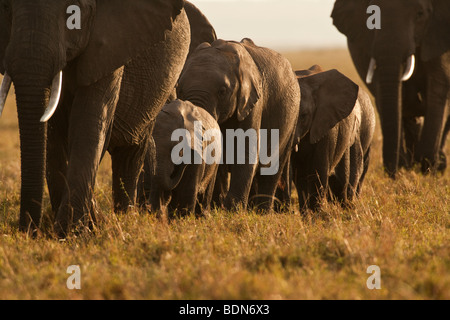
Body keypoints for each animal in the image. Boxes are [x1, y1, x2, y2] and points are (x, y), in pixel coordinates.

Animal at [178, 38, 300, 211]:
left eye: (222, 91)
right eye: (179, 89)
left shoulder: (253, 102)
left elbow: (246, 150)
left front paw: (232, 210)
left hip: (292, 116)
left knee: (273, 165)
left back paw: (262, 211)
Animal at [290, 65, 374, 211]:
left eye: (304, 115)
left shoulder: (327, 129)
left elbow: (318, 172)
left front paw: (316, 213)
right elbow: (299, 176)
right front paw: (306, 213)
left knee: (341, 179)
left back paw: (347, 206)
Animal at [330, 0, 450, 178]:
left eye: (420, 14)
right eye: (371, 17)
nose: (393, 173)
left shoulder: (438, 36)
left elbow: (436, 88)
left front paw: (428, 169)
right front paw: (407, 168)